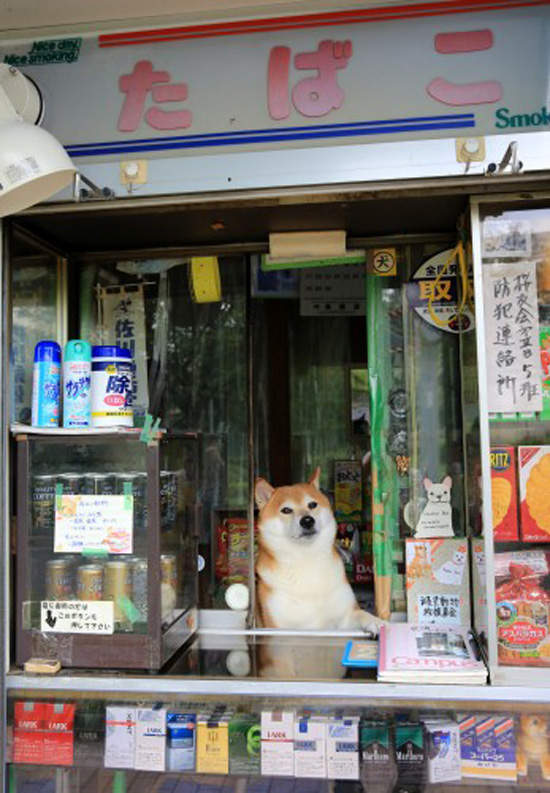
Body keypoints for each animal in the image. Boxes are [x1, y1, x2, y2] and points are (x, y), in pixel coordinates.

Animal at [254, 470, 384, 632]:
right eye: (286, 510)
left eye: (312, 505)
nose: (307, 520)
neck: (306, 559)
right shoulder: (278, 627)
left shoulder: (344, 619)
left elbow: (361, 614)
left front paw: (376, 621)